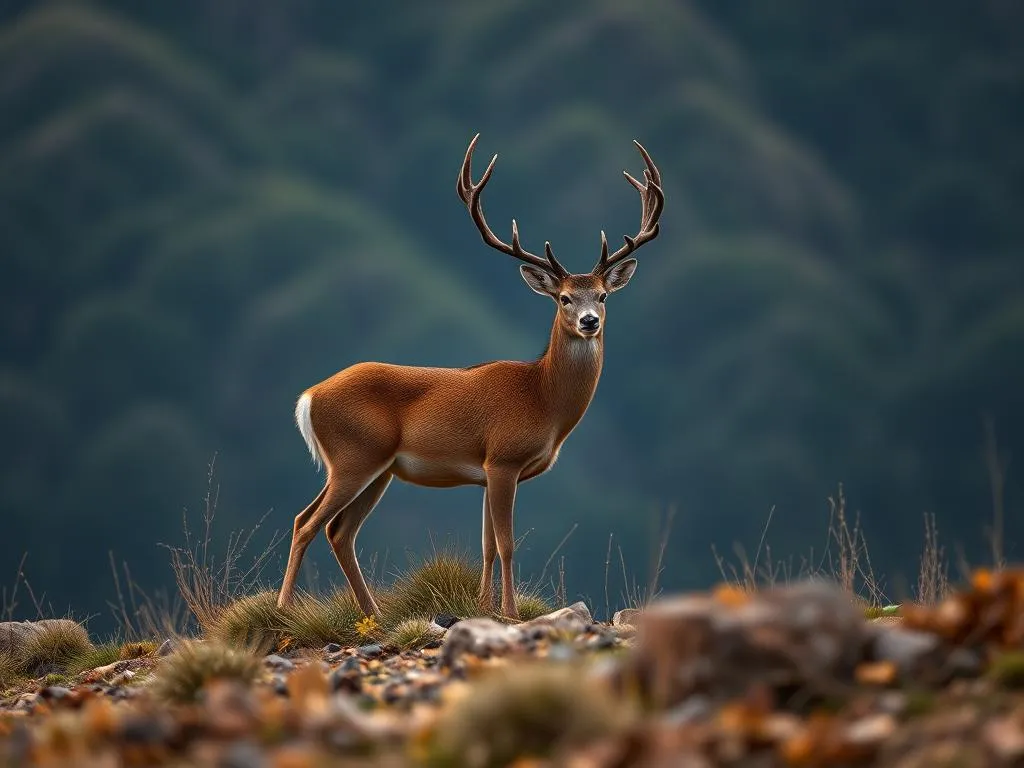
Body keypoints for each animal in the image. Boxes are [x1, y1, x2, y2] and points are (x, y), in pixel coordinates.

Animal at [278, 134, 663, 618]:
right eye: (563, 298)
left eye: (603, 296)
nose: (590, 321)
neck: (542, 399)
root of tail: (308, 397)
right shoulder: (503, 459)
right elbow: (507, 544)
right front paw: (511, 613)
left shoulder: (484, 472)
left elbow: (486, 545)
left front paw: (483, 608)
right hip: (354, 455)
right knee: (307, 523)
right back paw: (283, 609)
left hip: (375, 467)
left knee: (339, 531)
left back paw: (374, 614)